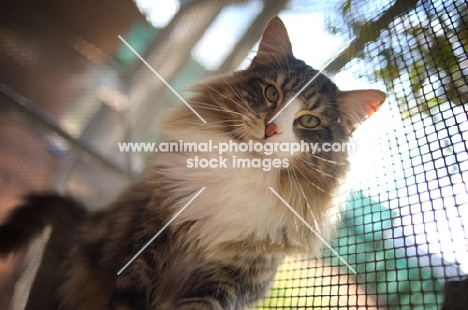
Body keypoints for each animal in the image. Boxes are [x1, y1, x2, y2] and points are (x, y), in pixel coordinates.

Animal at [1, 17, 386, 310]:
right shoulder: (149, 245)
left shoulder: (229, 280)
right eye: (271, 93)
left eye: (308, 121)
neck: (242, 171)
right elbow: (129, 300)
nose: (272, 127)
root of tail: (83, 218)